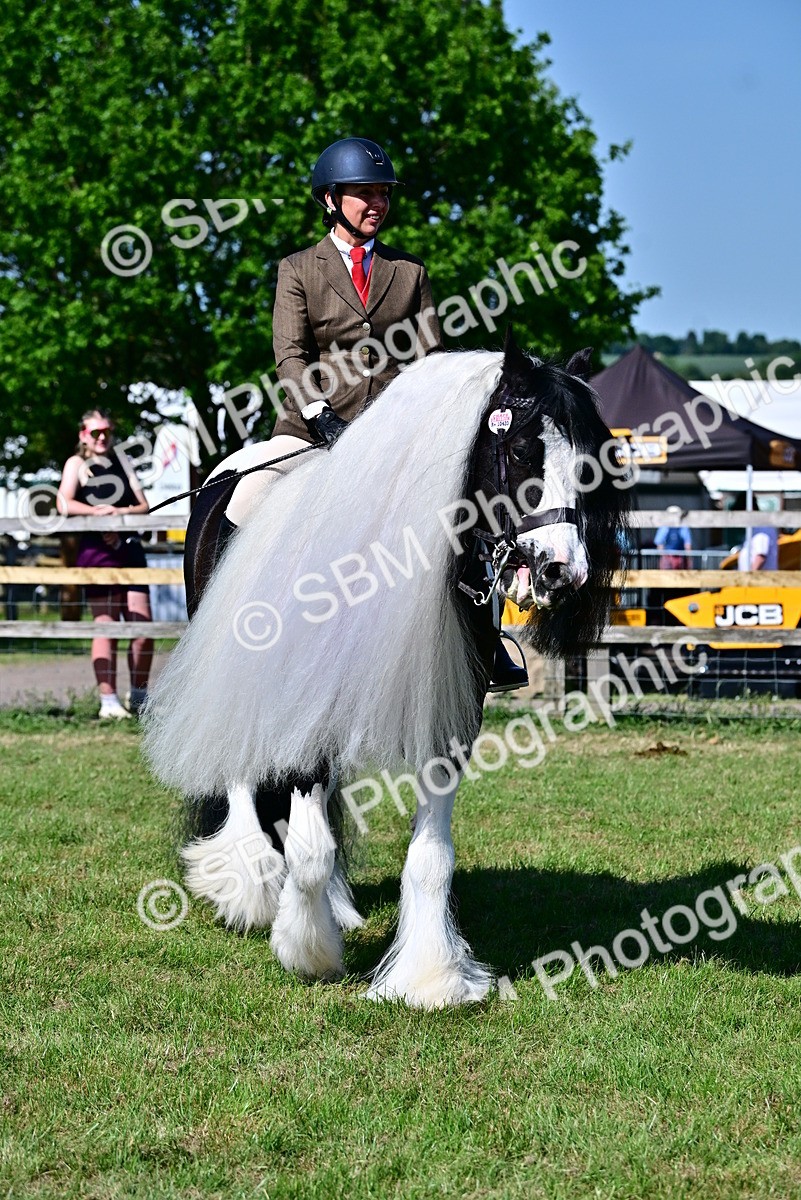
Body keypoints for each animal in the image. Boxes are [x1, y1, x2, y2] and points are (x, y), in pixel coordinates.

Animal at [143, 334, 628, 1008]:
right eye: (521, 449)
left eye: (588, 462)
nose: (563, 571)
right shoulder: (303, 709)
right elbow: (310, 847)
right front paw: (308, 951)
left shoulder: (448, 718)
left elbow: (429, 856)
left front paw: (430, 977)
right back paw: (251, 888)